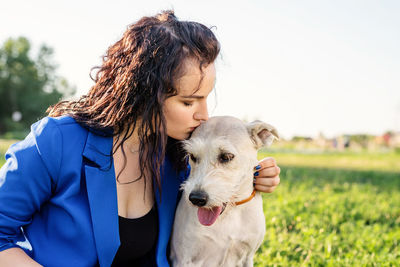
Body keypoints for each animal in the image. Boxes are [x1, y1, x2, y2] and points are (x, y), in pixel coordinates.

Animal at [170, 117, 280, 267]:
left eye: (226, 156)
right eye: (192, 156)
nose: (196, 199)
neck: (230, 214)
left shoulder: (248, 256)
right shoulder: (184, 259)